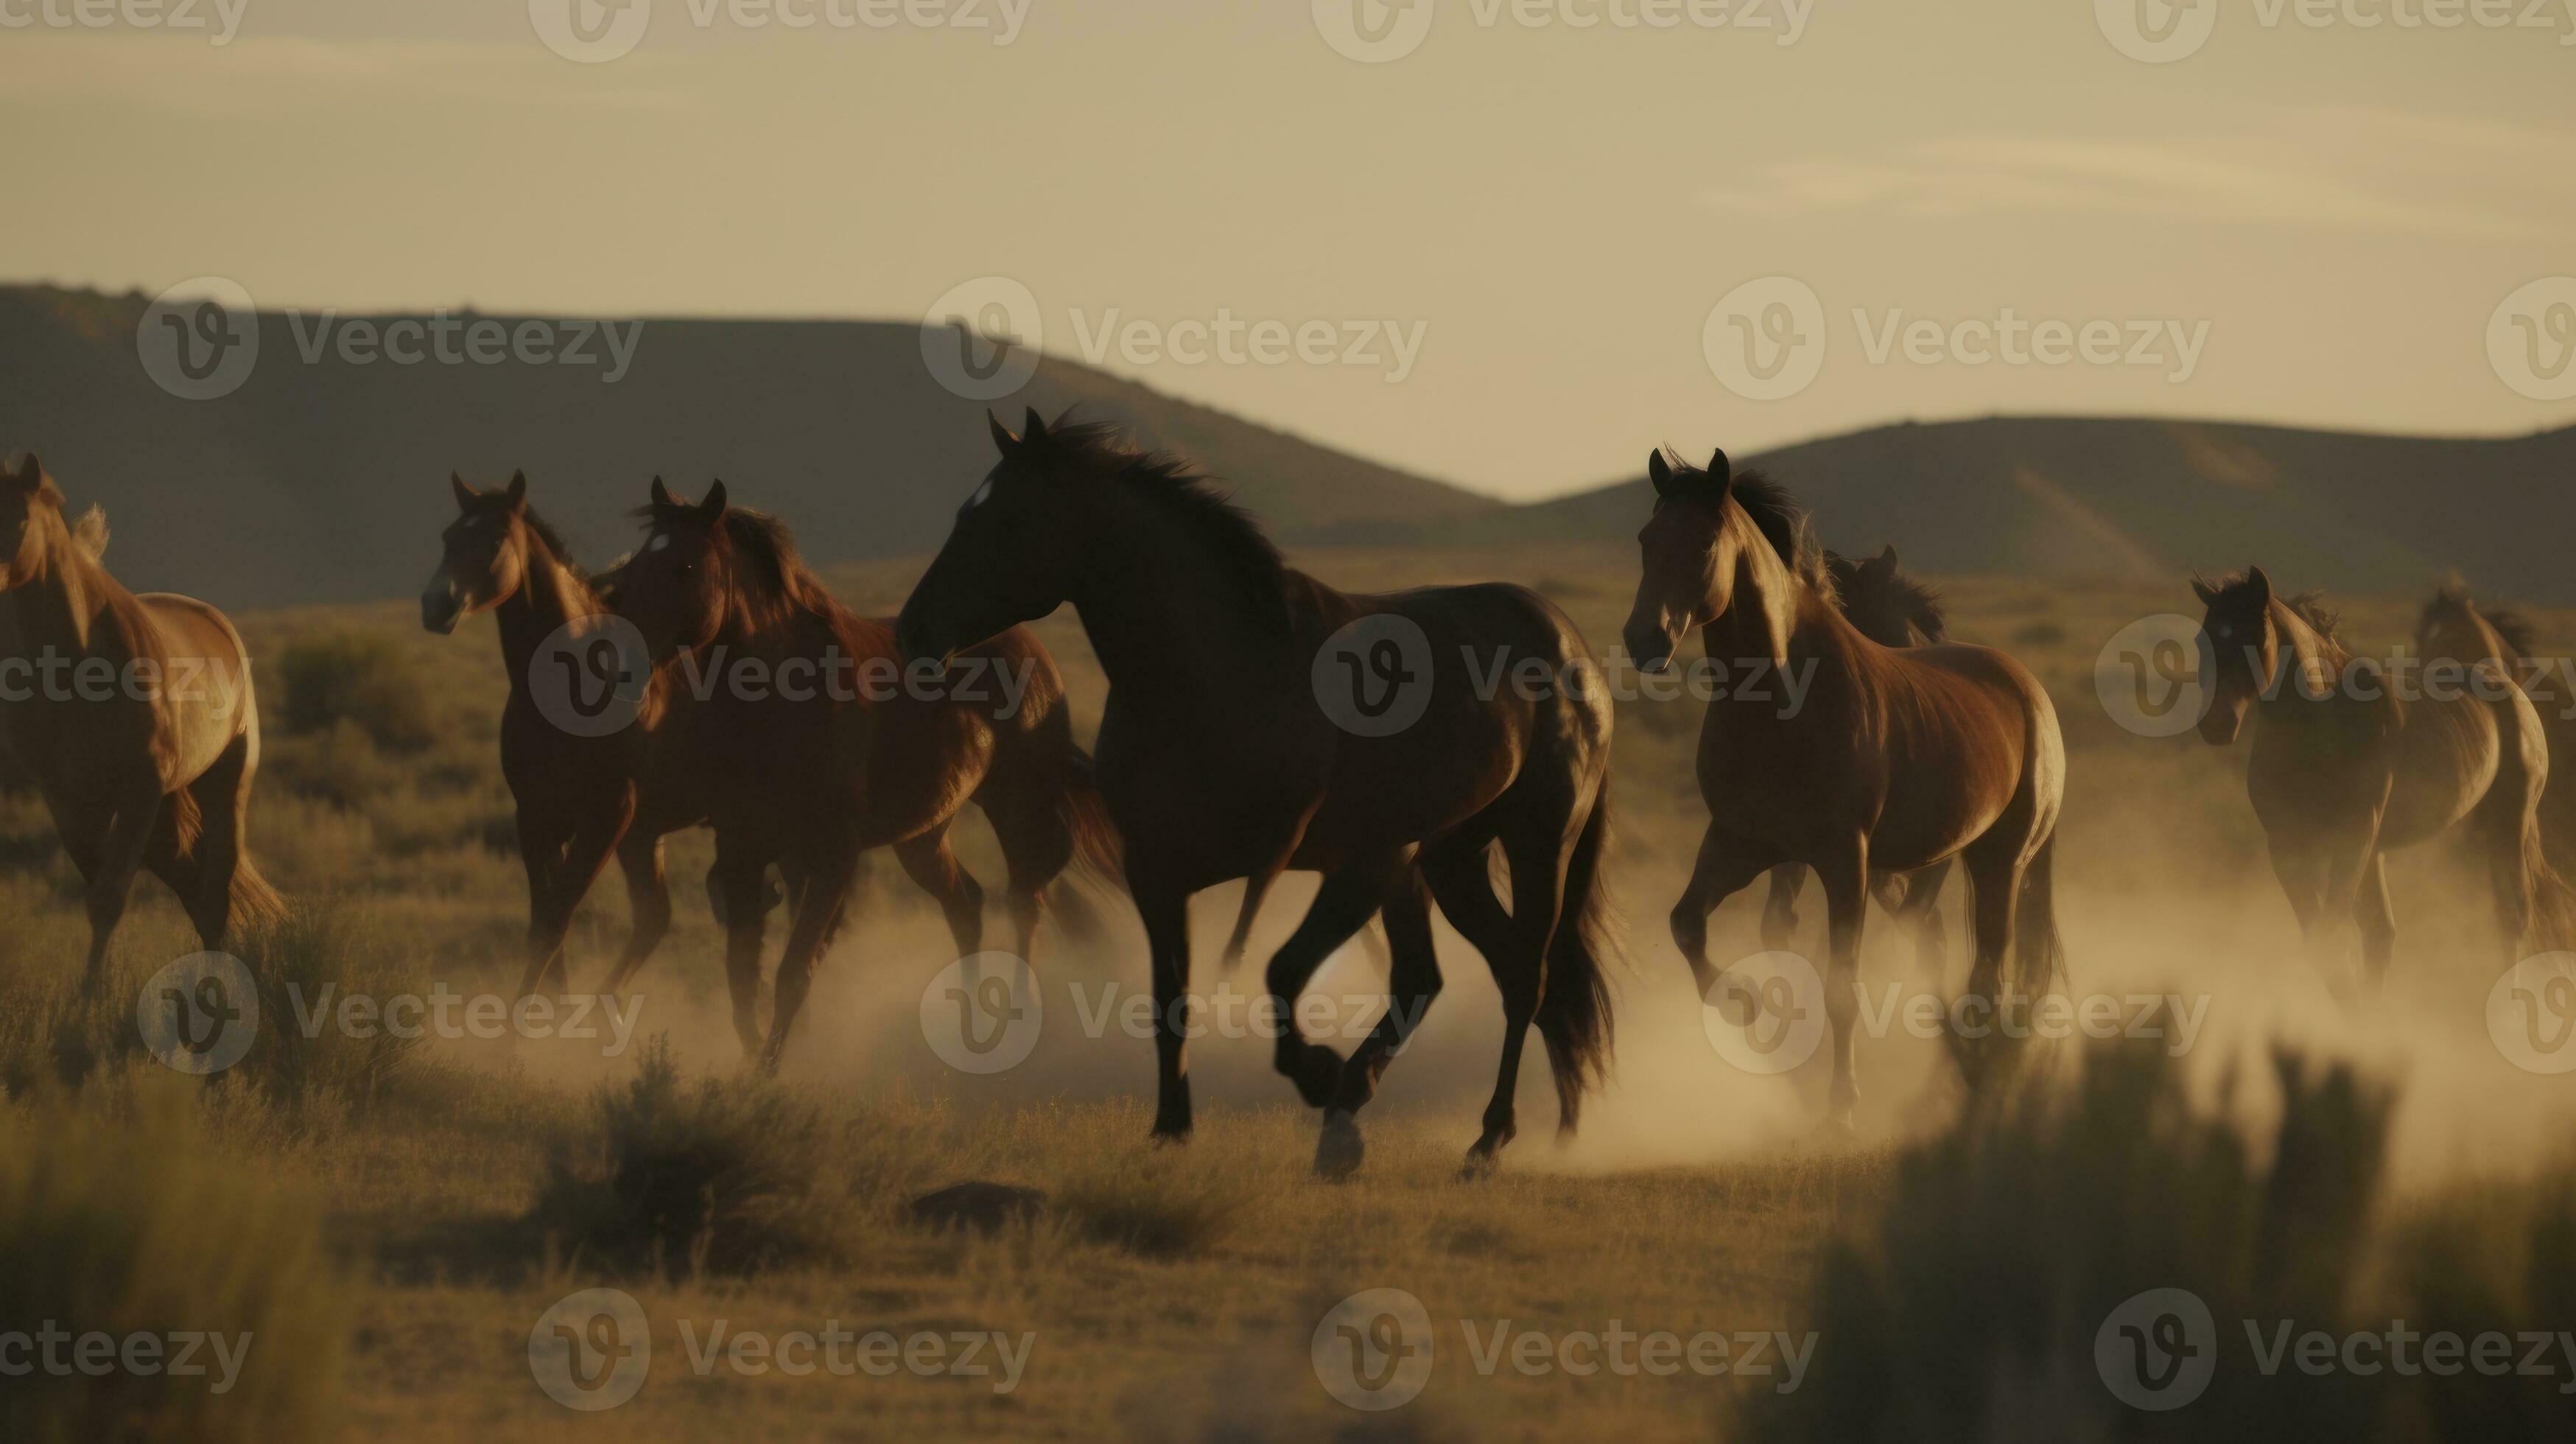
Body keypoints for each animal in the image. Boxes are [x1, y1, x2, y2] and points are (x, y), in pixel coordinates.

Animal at [0, 453, 284, 990]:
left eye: (20, 519)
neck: (74, 669)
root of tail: (217, 622)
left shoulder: (138, 793)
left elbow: (108, 901)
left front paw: (86, 1009)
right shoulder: (72, 804)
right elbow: (99, 895)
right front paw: (96, 994)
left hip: (220, 790)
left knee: (214, 892)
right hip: (159, 819)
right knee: (194, 890)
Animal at [612, 477, 1118, 1067]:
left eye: (686, 566)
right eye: (637, 563)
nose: (623, 658)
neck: (783, 700)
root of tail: (1034, 653)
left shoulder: (833, 855)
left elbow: (793, 971)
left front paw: (768, 1071)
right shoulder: (743, 851)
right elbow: (741, 977)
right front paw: (757, 1059)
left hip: (1018, 811)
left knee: (1025, 905)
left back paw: (1015, 1024)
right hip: (924, 837)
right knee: (967, 905)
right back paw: (968, 1026)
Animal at [896, 410, 1619, 1178]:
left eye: (1007, 520)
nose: (913, 632)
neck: (1222, 678)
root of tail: (1569, 644)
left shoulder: (1333, 864)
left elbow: (1274, 969)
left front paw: (1316, 1074)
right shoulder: (1158, 874)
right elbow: (1172, 998)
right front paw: (1172, 1128)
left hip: (1532, 843)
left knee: (1523, 979)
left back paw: (1482, 1138)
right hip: (1449, 861)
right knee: (1448, 977)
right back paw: (1384, 1117)